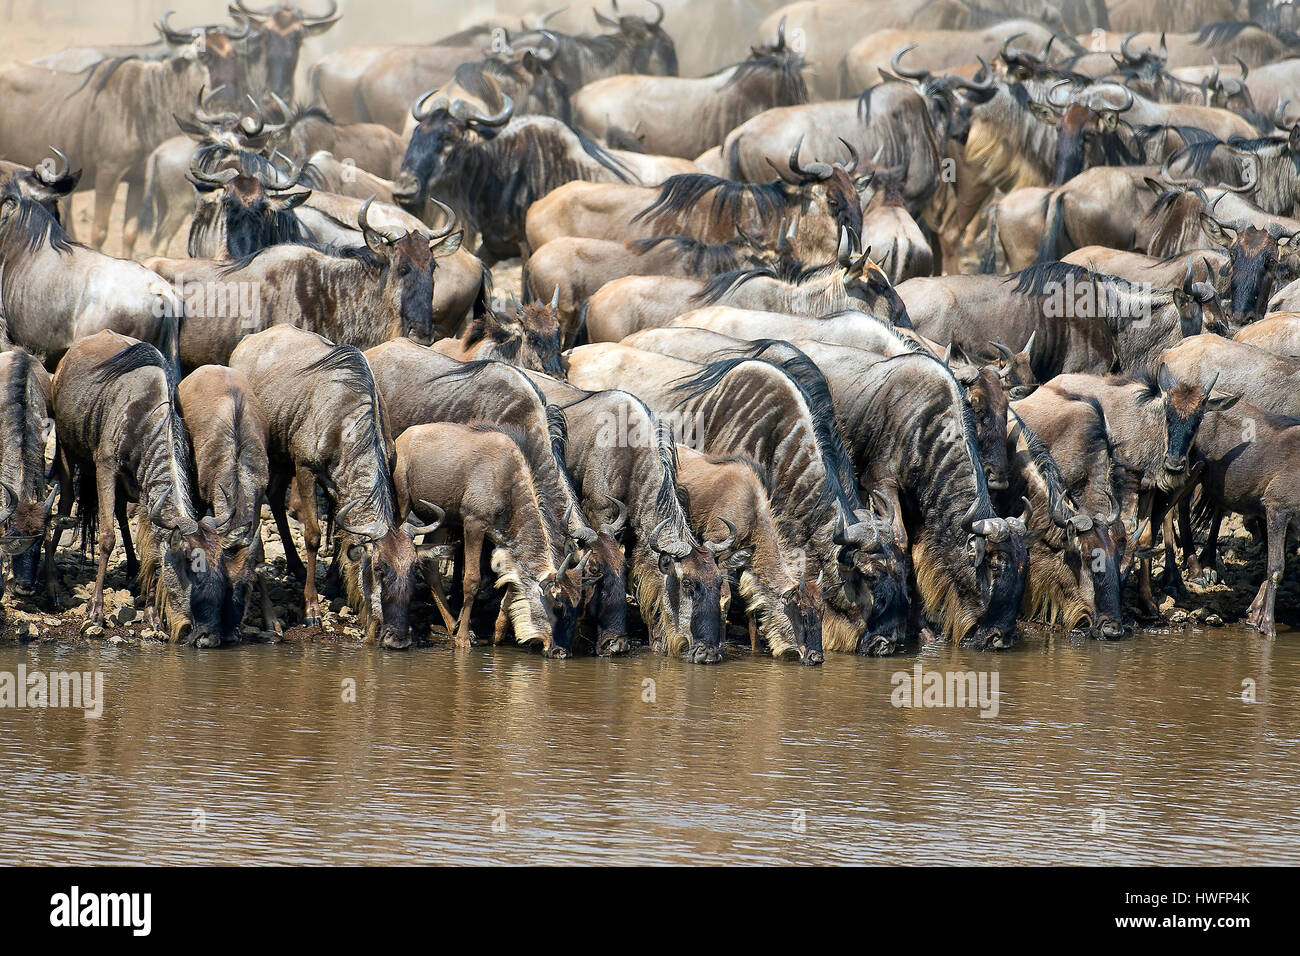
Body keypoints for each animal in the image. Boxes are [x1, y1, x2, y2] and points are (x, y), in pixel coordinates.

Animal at [48, 332, 236, 647]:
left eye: (219, 567)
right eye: (190, 563)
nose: (208, 637)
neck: (144, 418)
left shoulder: (149, 492)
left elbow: (151, 550)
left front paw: (153, 619)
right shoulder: (105, 467)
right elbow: (107, 538)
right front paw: (94, 615)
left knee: (121, 513)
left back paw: (133, 571)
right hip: (66, 449)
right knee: (65, 504)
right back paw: (49, 580)